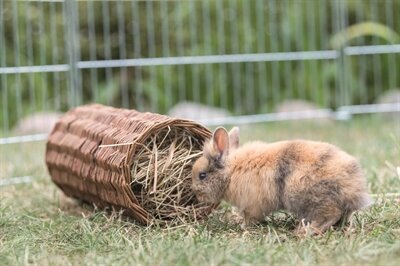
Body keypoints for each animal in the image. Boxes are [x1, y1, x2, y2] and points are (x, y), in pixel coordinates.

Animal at [191, 125, 372, 234]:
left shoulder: (251, 207)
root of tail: (354, 189)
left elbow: (250, 218)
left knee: (330, 215)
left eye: (202, 175)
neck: (231, 171)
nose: (196, 194)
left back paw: (304, 231)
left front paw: (243, 226)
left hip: (311, 198)